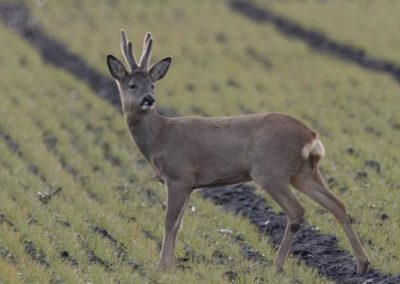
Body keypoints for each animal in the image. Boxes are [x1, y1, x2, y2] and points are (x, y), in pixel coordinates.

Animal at [105, 30, 368, 272]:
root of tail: (311, 136)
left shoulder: (179, 175)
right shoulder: (189, 184)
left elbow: (169, 222)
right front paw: (169, 265)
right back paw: (362, 265)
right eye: (132, 85)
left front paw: (161, 267)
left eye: (153, 84)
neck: (160, 137)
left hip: (270, 170)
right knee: (339, 206)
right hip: (303, 171)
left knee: (297, 211)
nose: (149, 99)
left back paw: (277, 266)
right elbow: (178, 224)